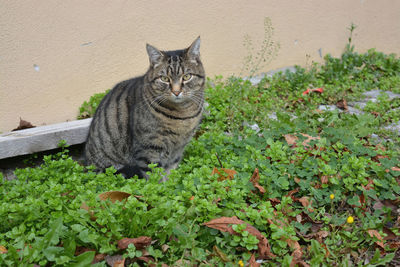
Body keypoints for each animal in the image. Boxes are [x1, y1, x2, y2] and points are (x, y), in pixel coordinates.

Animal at [83, 37, 205, 180]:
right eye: (164, 78)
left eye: (186, 77)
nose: (176, 92)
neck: (183, 115)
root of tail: (87, 166)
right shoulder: (148, 149)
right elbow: (154, 177)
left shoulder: (177, 151)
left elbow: (170, 173)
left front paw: (172, 183)